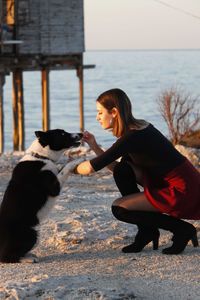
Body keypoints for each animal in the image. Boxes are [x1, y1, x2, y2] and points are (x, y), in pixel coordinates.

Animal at [0, 129, 82, 262]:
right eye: (62, 134)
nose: (81, 134)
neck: (41, 156)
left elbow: (61, 169)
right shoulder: (54, 188)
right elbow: (65, 169)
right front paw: (76, 160)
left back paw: (29, 255)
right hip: (32, 234)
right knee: (7, 257)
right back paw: (27, 259)